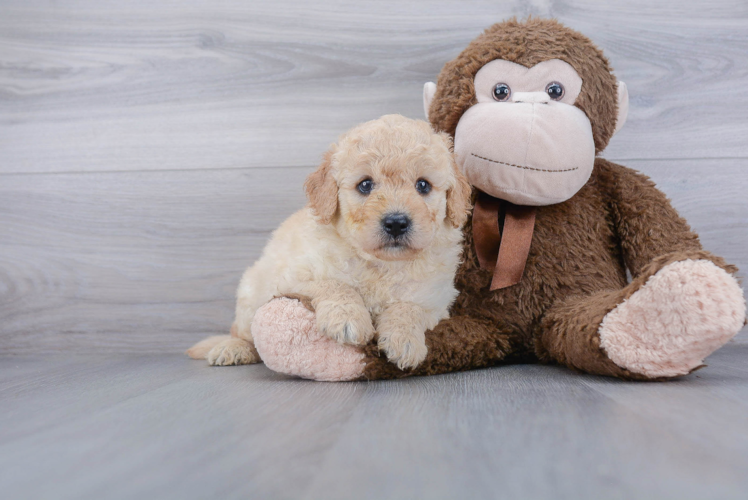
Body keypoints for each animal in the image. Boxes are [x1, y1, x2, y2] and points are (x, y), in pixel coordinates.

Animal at [188, 114, 468, 372]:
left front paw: (405, 340)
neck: (381, 266)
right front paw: (348, 320)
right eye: (365, 185)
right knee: (243, 333)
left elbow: (410, 308)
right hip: (250, 293)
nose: (397, 222)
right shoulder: (293, 276)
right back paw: (232, 348)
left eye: (423, 185)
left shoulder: (435, 300)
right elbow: (335, 284)